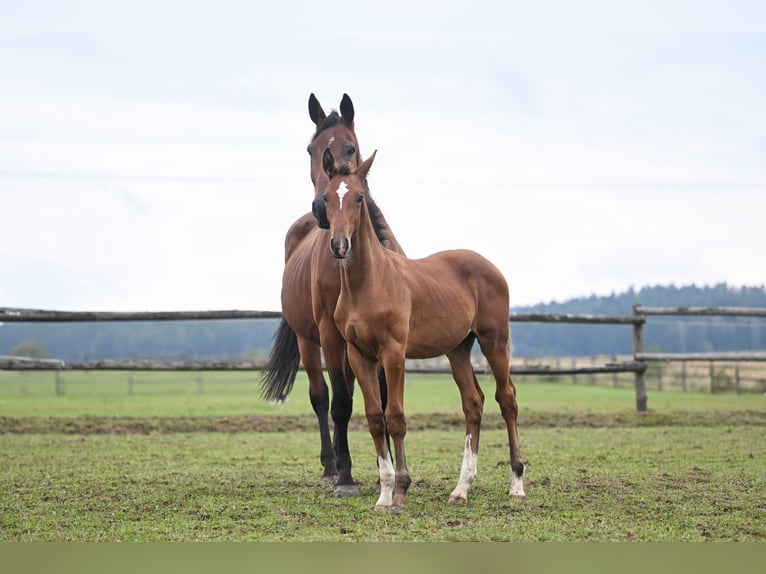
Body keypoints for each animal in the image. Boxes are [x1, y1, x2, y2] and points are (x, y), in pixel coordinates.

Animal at [260, 94, 404, 497]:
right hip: (310, 340)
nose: (322, 208)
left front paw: (384, 468)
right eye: (311, 149)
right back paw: (331, 465)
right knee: (322, 397)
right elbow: (338, 402)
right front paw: (346, 476)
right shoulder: (330, 333)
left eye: (350, 147)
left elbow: (379, 397)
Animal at [320, 148, 526, 512]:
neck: (368, 284)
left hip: (493, 341)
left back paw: (516, 484)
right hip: (458, 349)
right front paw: (384, 496)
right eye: (328, 197)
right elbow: (375, 418)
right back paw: (461, 489)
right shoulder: (360, 356)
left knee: (507, 399)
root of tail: (491, 267)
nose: (340, 245)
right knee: (473, 402)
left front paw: (401, 493)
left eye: (359, 198)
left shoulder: (394, 353)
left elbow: (396, 417)